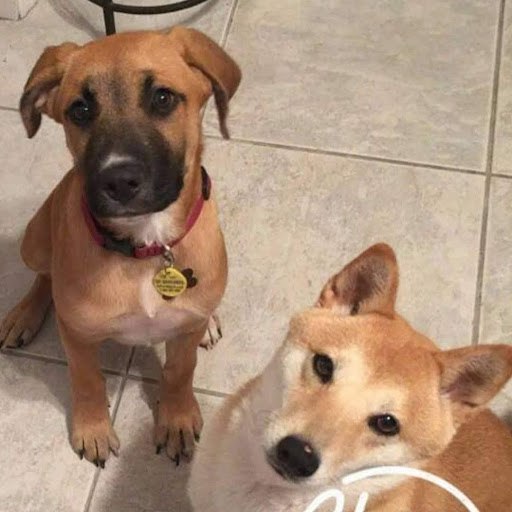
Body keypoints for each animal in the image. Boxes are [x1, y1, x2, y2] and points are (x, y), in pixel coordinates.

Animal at [0, 27, 241, 467]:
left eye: (162, 98)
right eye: (79, 109)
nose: (119, 180)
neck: (147, 247)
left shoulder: (183, 334)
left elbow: (181, 370)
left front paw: (176, 418)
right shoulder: (76, 335)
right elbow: (86, 379)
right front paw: (93, 429)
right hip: (35, 238)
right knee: (44, 275)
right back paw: (23, 315)